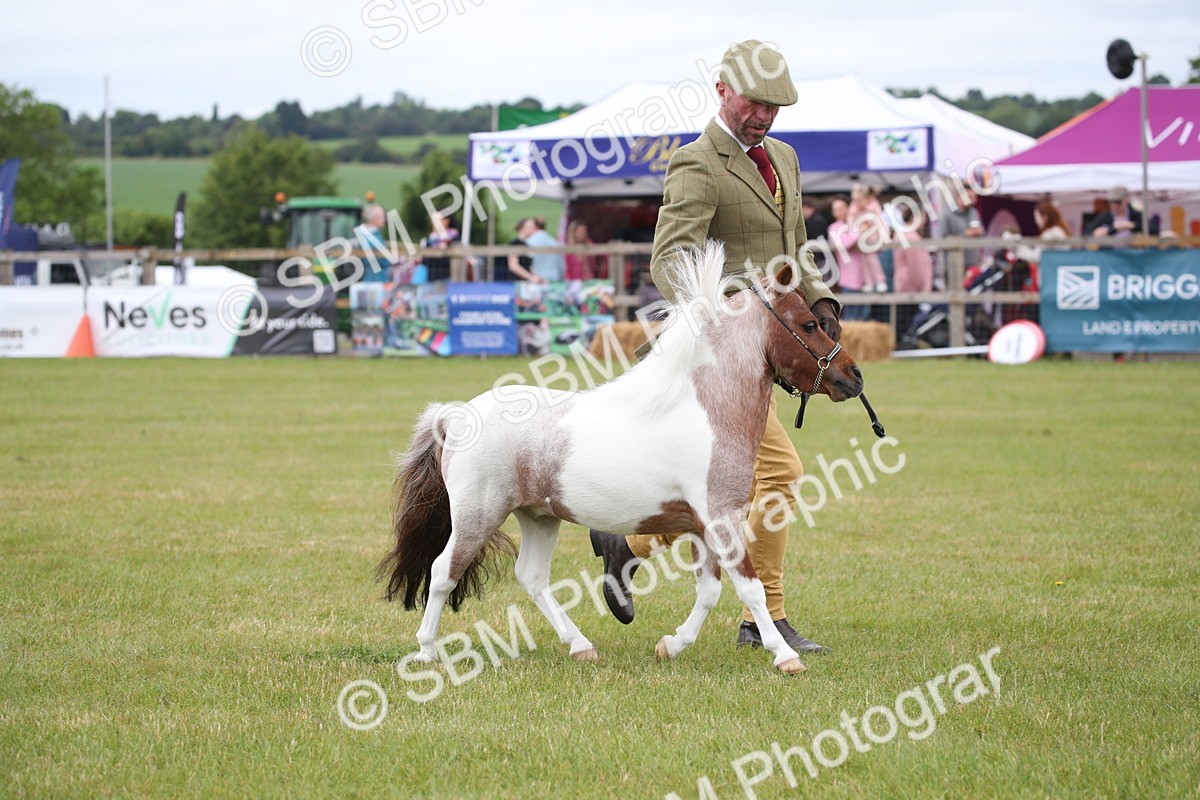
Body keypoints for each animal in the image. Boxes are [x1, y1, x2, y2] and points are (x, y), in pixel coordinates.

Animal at [378, 241, 865, 675]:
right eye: (808, 324)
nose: (854, 376)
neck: (709, 410)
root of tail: (456, 416)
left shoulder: (704, 525)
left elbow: (708, 591)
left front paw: (671, 645)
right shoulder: (721, 519)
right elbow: (751, 589)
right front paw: (786, 656)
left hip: (538, 516)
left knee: (531, 577)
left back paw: (581, 647)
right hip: (478, 514)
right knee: (443, 571)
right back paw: (426, 652)